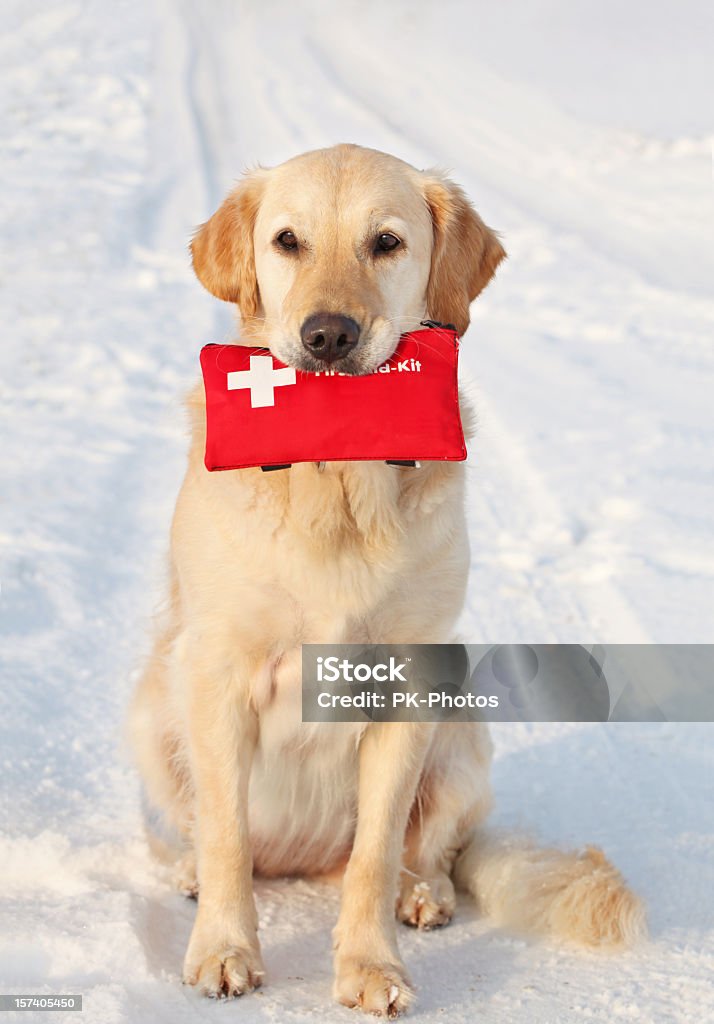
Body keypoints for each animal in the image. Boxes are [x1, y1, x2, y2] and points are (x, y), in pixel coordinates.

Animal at [129, 144, 647, 1015]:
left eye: (386, 244)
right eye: (288, 241)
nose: (328, 335)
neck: (336, 474)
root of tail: (302, 857)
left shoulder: (406, 683)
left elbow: (374, 854)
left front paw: (372, 967)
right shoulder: (218, 672)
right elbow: (227, 836)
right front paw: (225, 951)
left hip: (461, 728)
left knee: (423, 850)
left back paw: (422, 893)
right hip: (152, 713)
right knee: (215, 836)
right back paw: (194, 876)